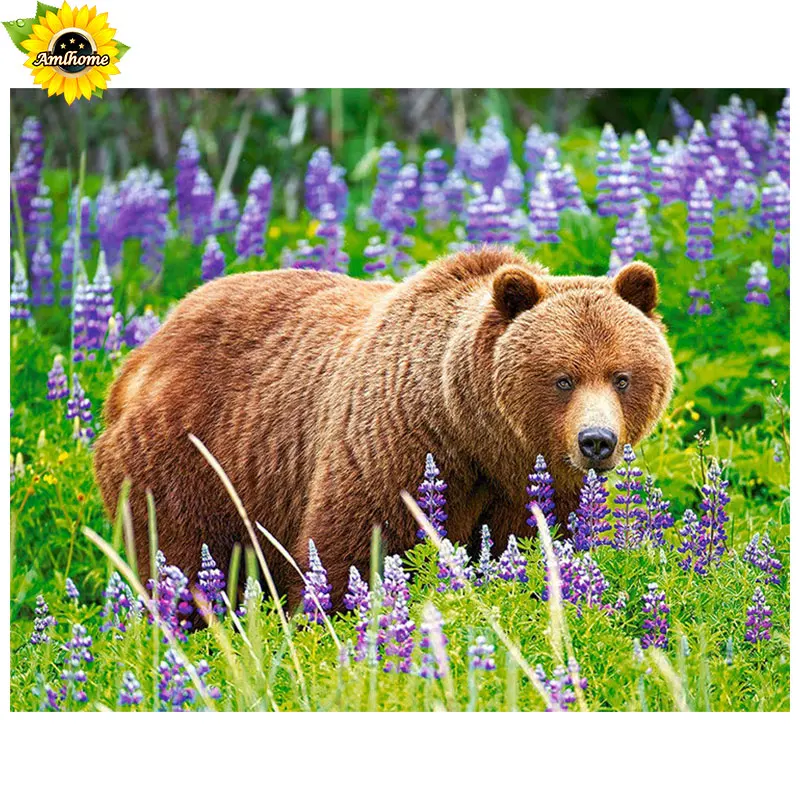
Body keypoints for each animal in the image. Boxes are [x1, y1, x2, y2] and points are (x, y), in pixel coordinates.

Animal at [93, 246, 675, 610]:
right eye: (562, 378)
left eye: (622, 376)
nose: (596, 441)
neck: (476, 435)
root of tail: (143, 352)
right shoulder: (394, 447)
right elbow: (349, 551)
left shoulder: (534, 488)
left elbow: (536, 547)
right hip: (191, 460)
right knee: (182, 559)